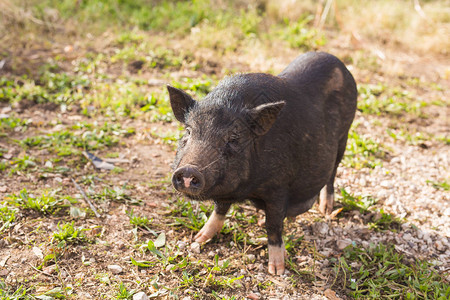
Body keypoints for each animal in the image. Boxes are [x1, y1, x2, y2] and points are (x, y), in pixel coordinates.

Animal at [167, 51, 356, 274]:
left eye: (233, 139)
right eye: (188, 131)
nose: (189, 170)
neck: (248, 189)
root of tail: (337, 61)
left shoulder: (279, 187)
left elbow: (273, 226)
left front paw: (277, 271)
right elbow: (220, 209)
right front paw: (197, 239)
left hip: (344, 136)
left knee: (332, 172)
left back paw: (325, 210)